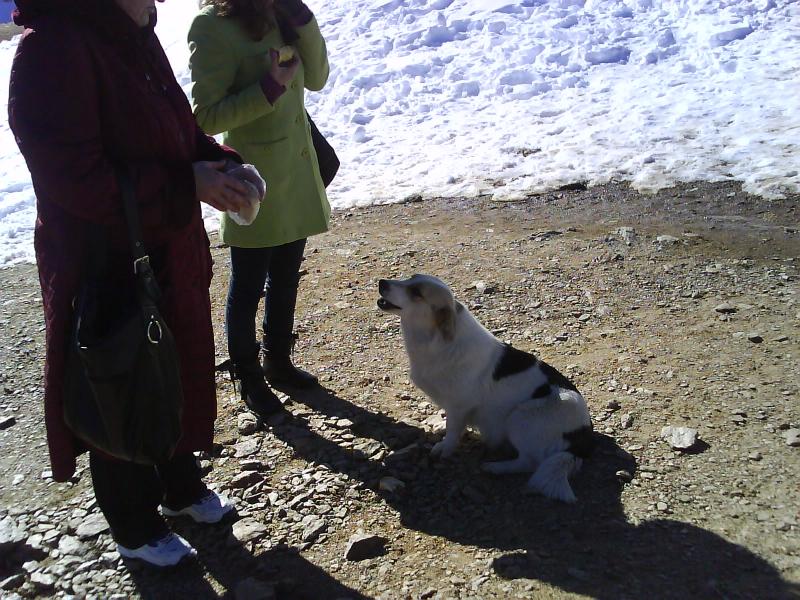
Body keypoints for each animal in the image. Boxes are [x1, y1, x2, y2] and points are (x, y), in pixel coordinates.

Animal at [376, 274, 592, 500]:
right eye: (410, 278)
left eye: (416, 292)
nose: (381, 282)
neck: (438, 340)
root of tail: (582, 441)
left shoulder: (459, 406)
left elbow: (453, 430)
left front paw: (445, 448)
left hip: (520, 417)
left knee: (529, 462)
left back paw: (495, 467)